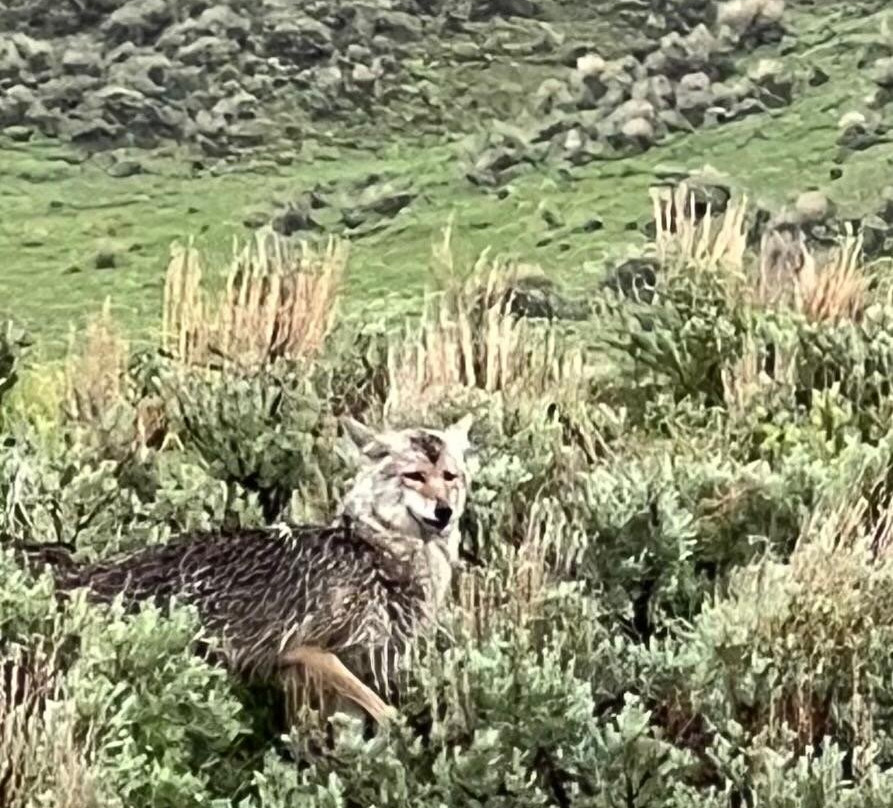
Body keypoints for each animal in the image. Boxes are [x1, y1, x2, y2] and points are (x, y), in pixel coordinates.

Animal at [19, 414, 475, 725]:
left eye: (449, 476)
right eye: (415, 476)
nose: (445, 512)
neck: (374, 555)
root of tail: (79, 573)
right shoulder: (305, 650)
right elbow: (384, 711)